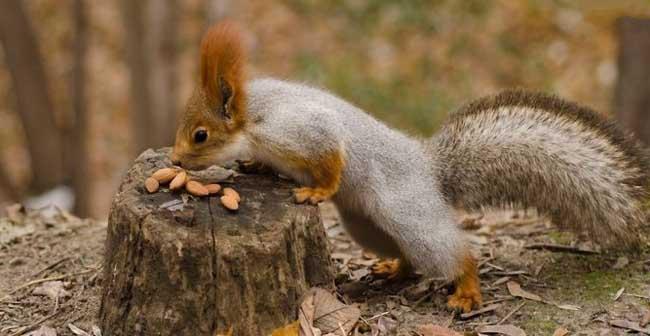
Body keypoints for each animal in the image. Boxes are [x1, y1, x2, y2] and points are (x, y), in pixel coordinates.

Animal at [171, 21, 648, 312]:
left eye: (201, 135)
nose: (174, 160)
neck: (253, 115)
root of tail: (431, 170)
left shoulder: (298, 130)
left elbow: (332, 157)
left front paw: (317, 190)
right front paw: (254, 165)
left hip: (410, 215)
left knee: (453, 253)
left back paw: (467, 291)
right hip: (365, 225)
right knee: (406, 257)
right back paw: (393, 269)